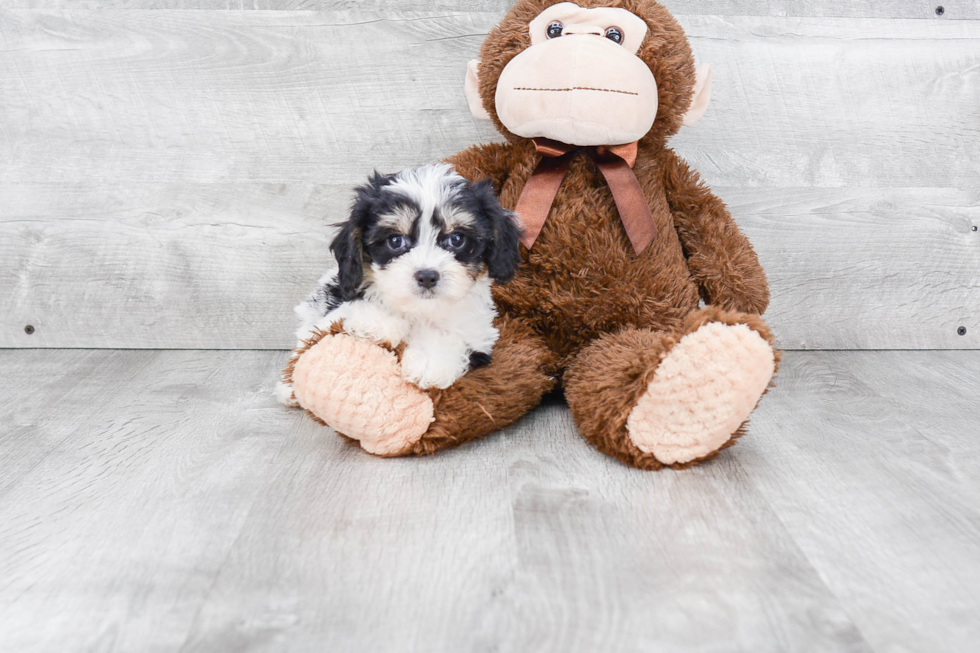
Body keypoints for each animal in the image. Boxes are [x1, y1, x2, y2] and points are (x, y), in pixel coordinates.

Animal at [278, 162, 520, 398]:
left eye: (457, 239)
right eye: (395, 241)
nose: (427, 276)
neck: (421, 310)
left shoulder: (479, 335)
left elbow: (454, 339)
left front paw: (430, 359)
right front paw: (377, 321)